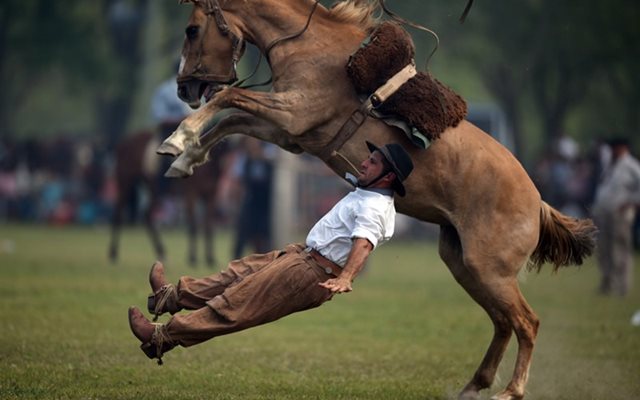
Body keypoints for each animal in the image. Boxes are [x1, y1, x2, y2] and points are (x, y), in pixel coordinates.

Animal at [110, 130, 228, 268]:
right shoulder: (190, 194)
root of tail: (122, 144)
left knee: (146, 214)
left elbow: (209, 225)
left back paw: (161, 251)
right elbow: (193, 224)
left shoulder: (211, 195)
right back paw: (113, 253)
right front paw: (192, 257)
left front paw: (210, 258)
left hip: (151, 189)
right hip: (126, 182)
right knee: (119, 212)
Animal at [155, 1, 596, 398]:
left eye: (192, 29)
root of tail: (537, 202)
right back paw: (474, 386)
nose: (184, 88)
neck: (313, 49)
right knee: (503, 322)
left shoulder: (292, 114)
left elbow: (229, 100)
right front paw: (184, 158)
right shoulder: (288, 132)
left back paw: (512, 390)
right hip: (465, 264)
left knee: (526, 322)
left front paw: (177, 139)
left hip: (491, 270)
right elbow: (231, 119)